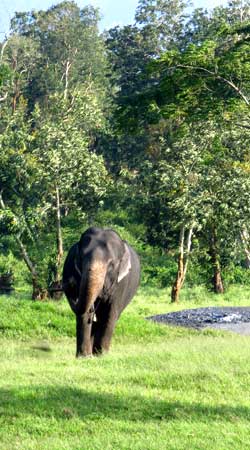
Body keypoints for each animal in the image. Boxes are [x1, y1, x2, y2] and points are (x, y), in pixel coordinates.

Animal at [62, 227, 141, 356]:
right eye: (81, 258)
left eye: (111, 264)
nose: (69, 283)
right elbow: (85, 312)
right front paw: (84, 356)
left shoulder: (121, 283)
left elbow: (110, 314)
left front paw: (102, 355)